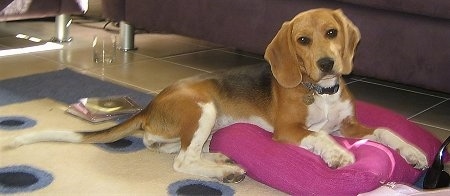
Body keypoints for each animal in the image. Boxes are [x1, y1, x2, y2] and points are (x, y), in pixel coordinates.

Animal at [7, 8, 428, 183]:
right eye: (302, 40)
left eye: (331, 32)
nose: (327, 64)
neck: (319, 91)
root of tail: (150, 105)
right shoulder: (289, 131)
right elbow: (320, 136)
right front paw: (340, 155)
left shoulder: (351, 124)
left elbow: (386, 132)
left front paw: (415, 153)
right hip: (203, 107)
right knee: (181, 162)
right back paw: (225, 170)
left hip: (196, 127)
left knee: (176, 152)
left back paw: (221, 159)